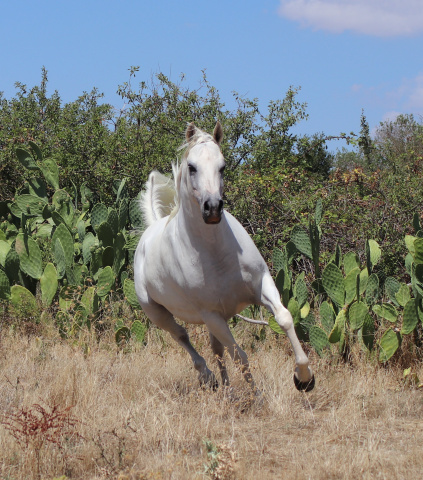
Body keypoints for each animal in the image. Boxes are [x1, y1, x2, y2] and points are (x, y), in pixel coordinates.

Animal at [134, 122, 316, 392]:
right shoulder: (211, 314)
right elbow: (239, 355)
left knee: (216, 349)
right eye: (191, 167)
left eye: (223, 166)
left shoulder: (262, 284)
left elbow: (284, 318)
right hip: (160, 314)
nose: (212, 208)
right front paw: (256, 397)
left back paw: (226, 389)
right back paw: (207, 376)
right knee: (182, 336)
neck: (216, 254)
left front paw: (303, 378)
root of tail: (150, 230)